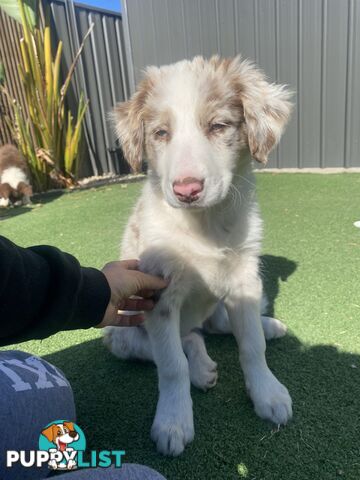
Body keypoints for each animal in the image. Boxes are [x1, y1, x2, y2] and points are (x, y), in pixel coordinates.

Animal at [104, 54, 292, 456]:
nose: (186, 189)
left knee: (215, 329)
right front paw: (173, 422)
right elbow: (171, 365)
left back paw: (269, 327)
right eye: (160, 133)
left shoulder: (243, 281)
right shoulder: (158, 294)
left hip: (219, 308)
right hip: (124, 336)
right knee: (183, 341)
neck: (203, 225)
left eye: (219, 126)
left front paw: (267, 393)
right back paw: (200, 369)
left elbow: (251, 345)